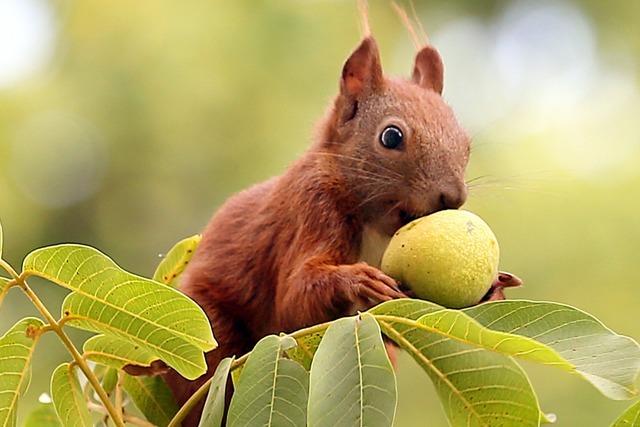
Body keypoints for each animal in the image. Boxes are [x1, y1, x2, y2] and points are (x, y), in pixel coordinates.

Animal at [140, 19, 520, 424]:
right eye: (391, 136)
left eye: (466, 143)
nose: (453, 197)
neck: (375, 223)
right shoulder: (310, 208)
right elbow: (292, 299)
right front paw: (357, 280)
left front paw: (495, 288)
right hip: (208, 338)